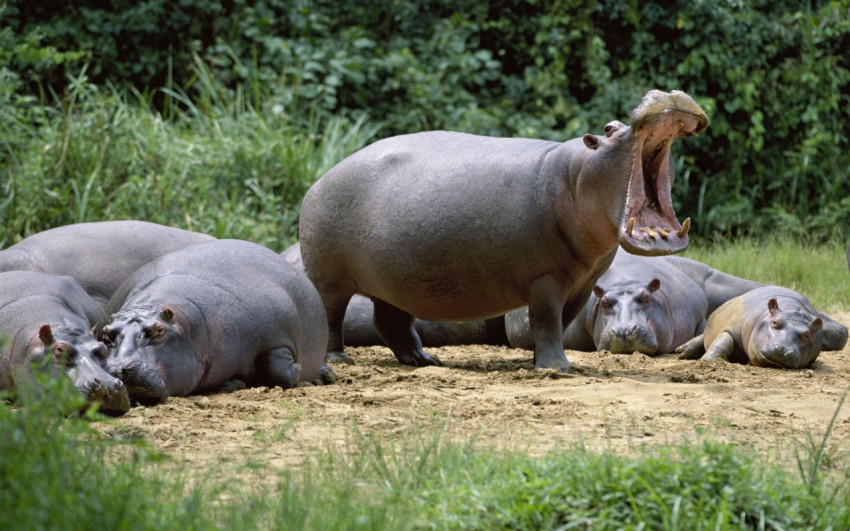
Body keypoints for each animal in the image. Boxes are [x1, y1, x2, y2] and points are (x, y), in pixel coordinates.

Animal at [103, 239, 330, 403]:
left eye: (158, 330)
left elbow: (279, 371)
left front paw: (300, 369)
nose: (117, 368)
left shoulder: (277, 336)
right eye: (106, 333)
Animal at [675, 286, 848, 368]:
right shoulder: (733, 327)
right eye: (774, 322)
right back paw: (681, 352)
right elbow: (723, 341)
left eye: (806, 334)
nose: (781, 349)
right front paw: (709, 361)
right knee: (702, 338)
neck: (791, 309)